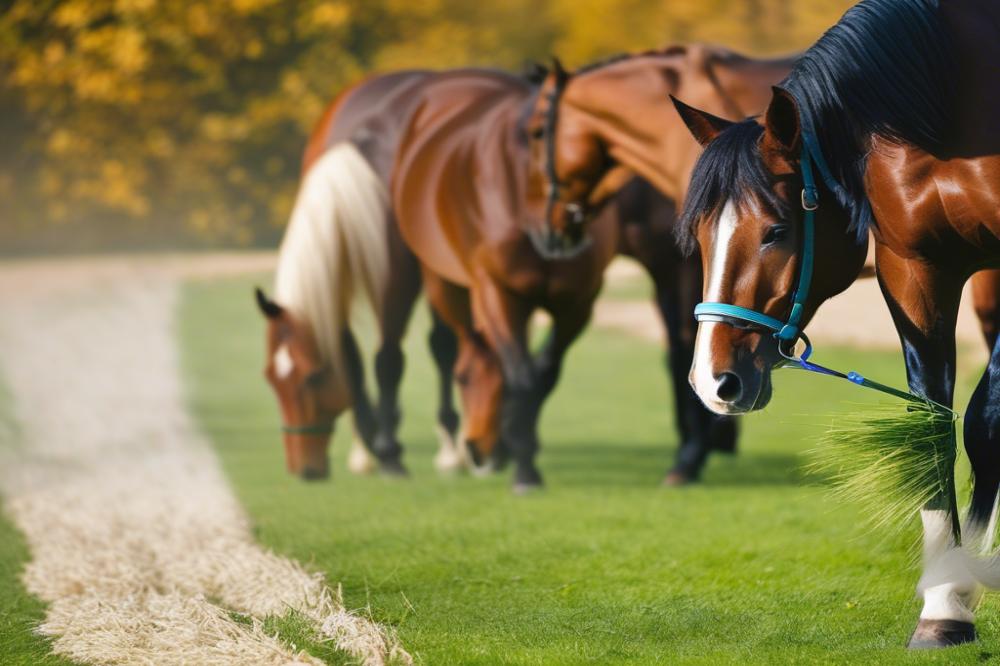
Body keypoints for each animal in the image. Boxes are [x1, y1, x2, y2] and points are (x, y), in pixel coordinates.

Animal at [258, 46, 796, 486]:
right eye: (272, 381)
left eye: (309, 379)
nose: (303, 468)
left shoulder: (617, 285)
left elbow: (551, 368)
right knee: (415, 347)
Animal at [660, 0, 1000, 644]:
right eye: (699, 235)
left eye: (775, 230)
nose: (713, 381)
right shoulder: (914, 268)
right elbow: (931, 429)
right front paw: (946, 602)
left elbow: (985, 420)